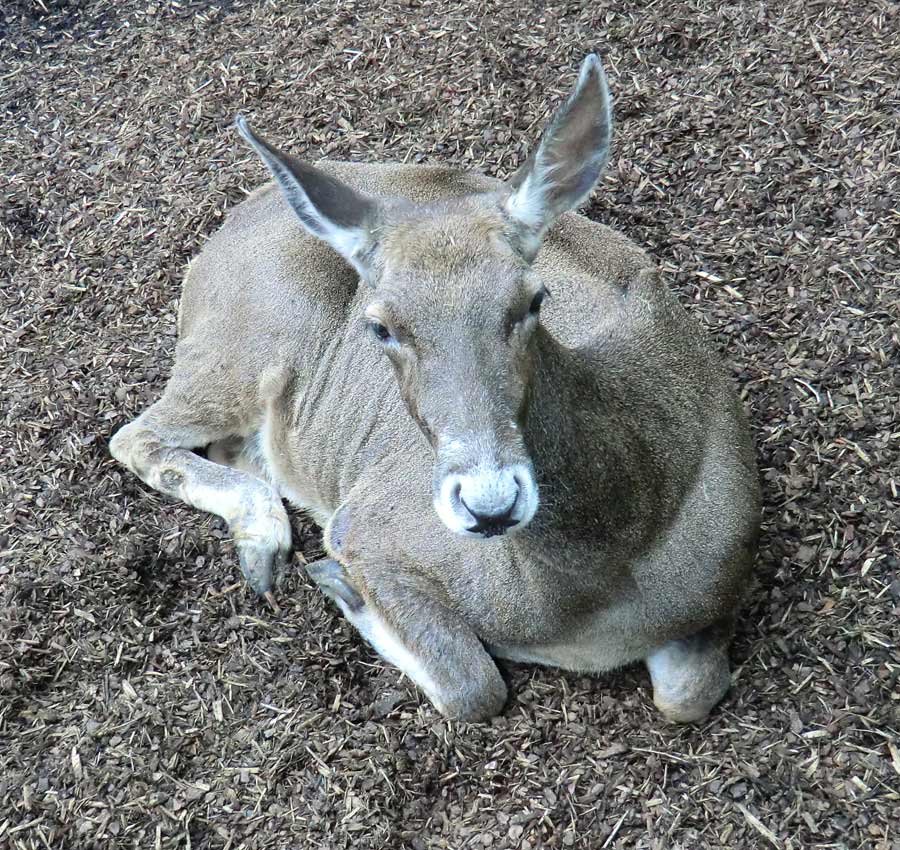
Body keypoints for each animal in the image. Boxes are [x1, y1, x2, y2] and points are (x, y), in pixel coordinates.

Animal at [110, 56, 760, 724]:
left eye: (534, 299)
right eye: (380, 326)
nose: (489, 503)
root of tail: (232, 222)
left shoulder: (723, 583)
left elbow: (689, 693)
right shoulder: (370, 525)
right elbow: (475, 688)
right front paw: (340, 584)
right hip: (249, 337)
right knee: (136, 434)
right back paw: (265, 541)